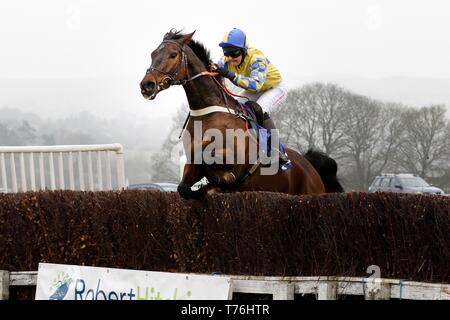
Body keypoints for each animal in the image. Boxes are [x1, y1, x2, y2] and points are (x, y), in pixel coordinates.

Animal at [139, 30, 342, 200]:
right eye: (153, 54)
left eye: (173, 55)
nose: (146, 85)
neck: (207, 114)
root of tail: (309, 165)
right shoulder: (191, 164)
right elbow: (183, 187)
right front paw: (206, 189)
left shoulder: (233, 160)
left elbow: (214, 166)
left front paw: (216, 184)